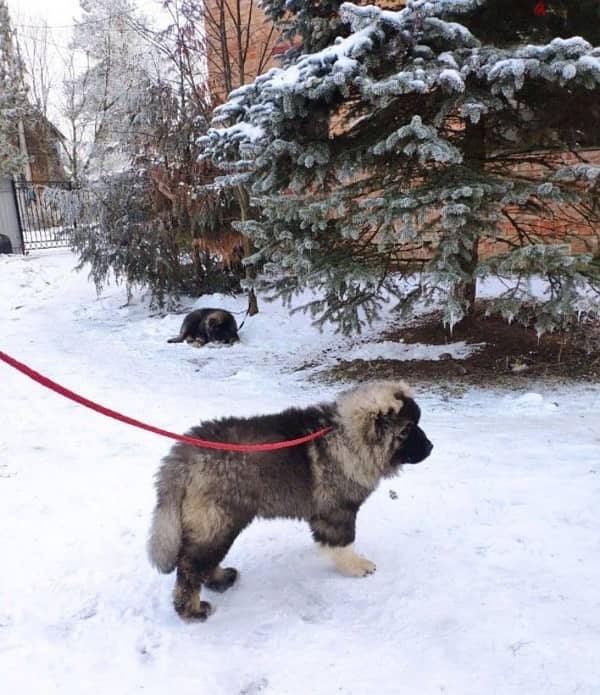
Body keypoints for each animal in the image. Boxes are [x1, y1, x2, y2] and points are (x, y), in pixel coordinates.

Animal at [149, 384, 432, 624]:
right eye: (407, 429)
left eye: (417, 424)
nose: (430, 447)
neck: (347, 437)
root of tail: (185, 456)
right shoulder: (337, 511)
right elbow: (344, 542)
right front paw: (356, 566)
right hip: (218, 520)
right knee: (190, 565)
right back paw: (192, 610)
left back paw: (220, 579)